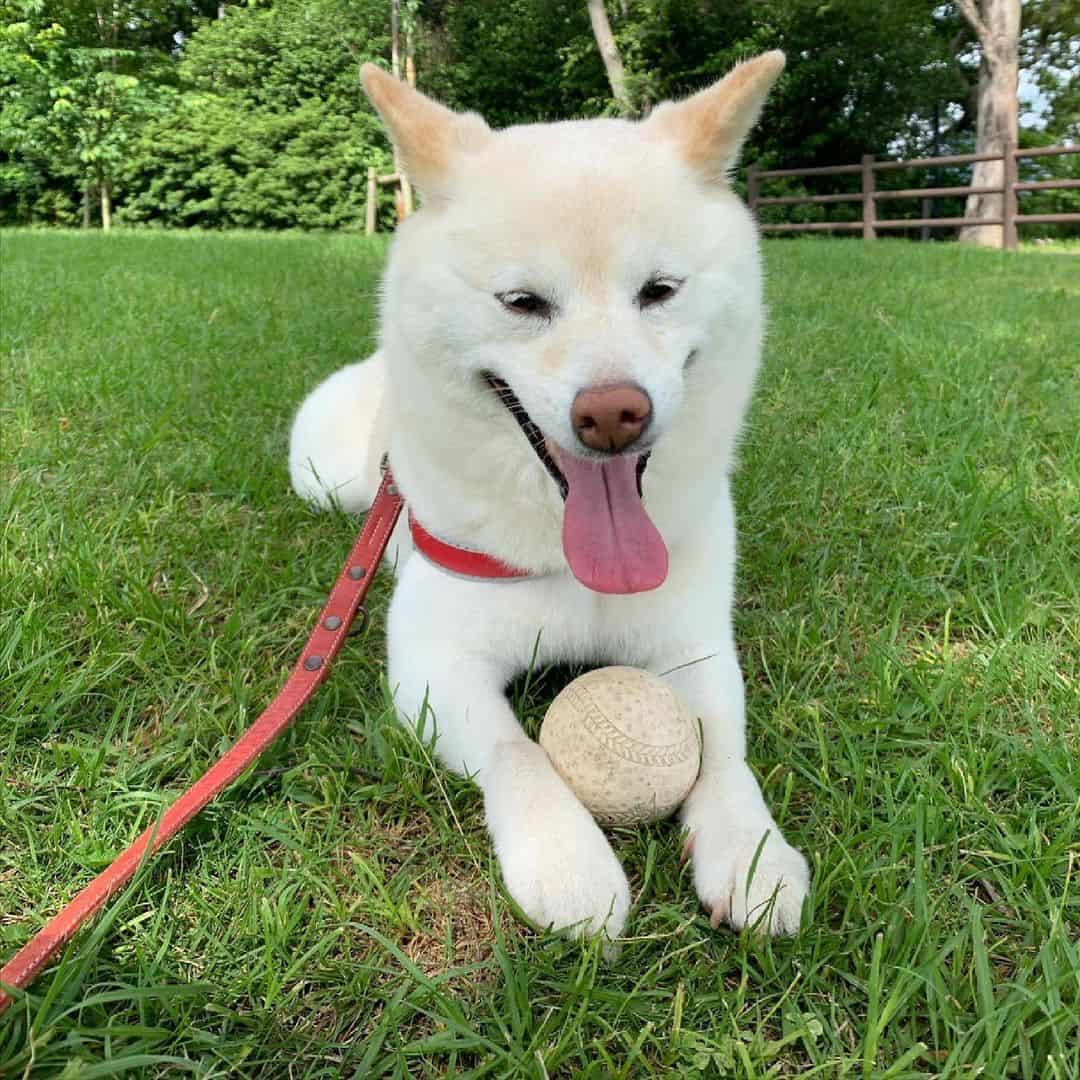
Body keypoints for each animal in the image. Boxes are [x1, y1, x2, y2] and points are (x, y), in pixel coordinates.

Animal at [289, 52, 812, 946]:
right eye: (522, 303)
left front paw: (752, 853)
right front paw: (568, 863)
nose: (612, 413)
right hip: (324, 480)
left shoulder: (695, 649)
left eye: (659, 290)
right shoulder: (434, 662)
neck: (571, 562)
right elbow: (519, 753)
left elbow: (722, 751)